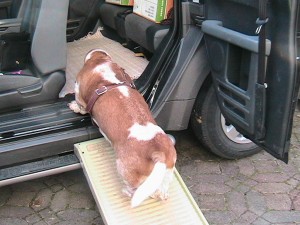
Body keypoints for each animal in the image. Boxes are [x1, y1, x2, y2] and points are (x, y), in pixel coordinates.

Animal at [69, 48, 177, 207]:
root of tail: (158, 152)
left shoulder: (80, 93)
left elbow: (80, 106)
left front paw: (74, 106)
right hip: (167, 172)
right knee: (160, 191)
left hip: (123, 168)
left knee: (135, 189)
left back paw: (127, 192)